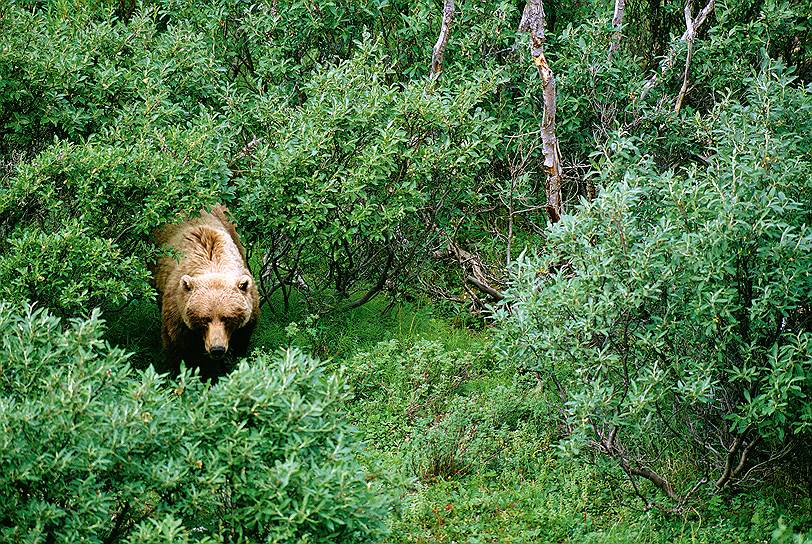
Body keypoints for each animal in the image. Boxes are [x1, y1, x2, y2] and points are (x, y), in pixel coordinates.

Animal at [154, 204, 258, 378]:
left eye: (227, 318)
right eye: (205, 318)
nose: (217, 349)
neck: (213, 263)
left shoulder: (248, 314)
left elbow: (241, 342)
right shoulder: (178, 311)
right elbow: (178, 349)